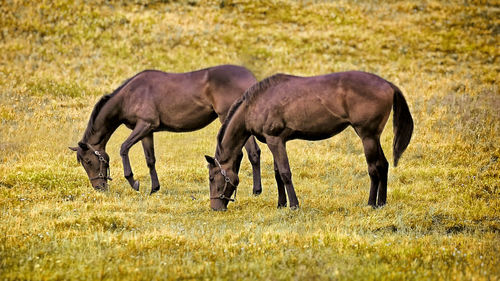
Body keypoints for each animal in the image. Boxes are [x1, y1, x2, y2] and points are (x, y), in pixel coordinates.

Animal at [71, 64, 266, 194]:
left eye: (88, 161)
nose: (98, 187)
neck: (130, 95)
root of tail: (251, 78)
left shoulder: (144, 125)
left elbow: (124, 148)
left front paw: (133, 182)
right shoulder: (147, 132)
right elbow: (150, 160)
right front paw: (154, 188)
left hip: (229, 117)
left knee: (250, 152)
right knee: (253, 153)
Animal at [205, 71, 412, 209]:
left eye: (212, 178)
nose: (215, 207)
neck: (256, 103)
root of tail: (387, 84)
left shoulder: (275, 140)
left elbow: (285, 173)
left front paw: (294, 205)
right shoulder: (275, 141)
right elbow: (277, 173)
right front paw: (281, 204)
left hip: (367, 136)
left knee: (374, 168)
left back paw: (371, 204)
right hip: (374, 137)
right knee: (383, 165)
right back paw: (381, 202)